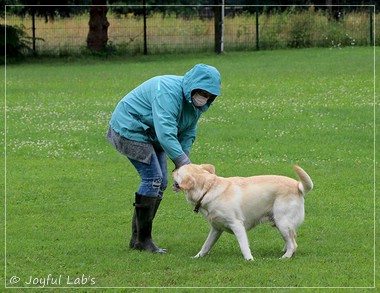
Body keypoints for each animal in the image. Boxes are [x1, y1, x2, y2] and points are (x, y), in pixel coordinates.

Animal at [171, 164, 314, 260]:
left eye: (178, 172)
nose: (172, 169)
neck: (209, 189)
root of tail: (298, 185)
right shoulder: (216, 229)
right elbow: (206, 246)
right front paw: (197, 257)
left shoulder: (237, 225)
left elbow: (244, 246)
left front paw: (249, 259)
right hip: (282, 224)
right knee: (291, 239)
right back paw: (285, 251)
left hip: (282, 222)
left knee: (293, 244)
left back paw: (285, 256)